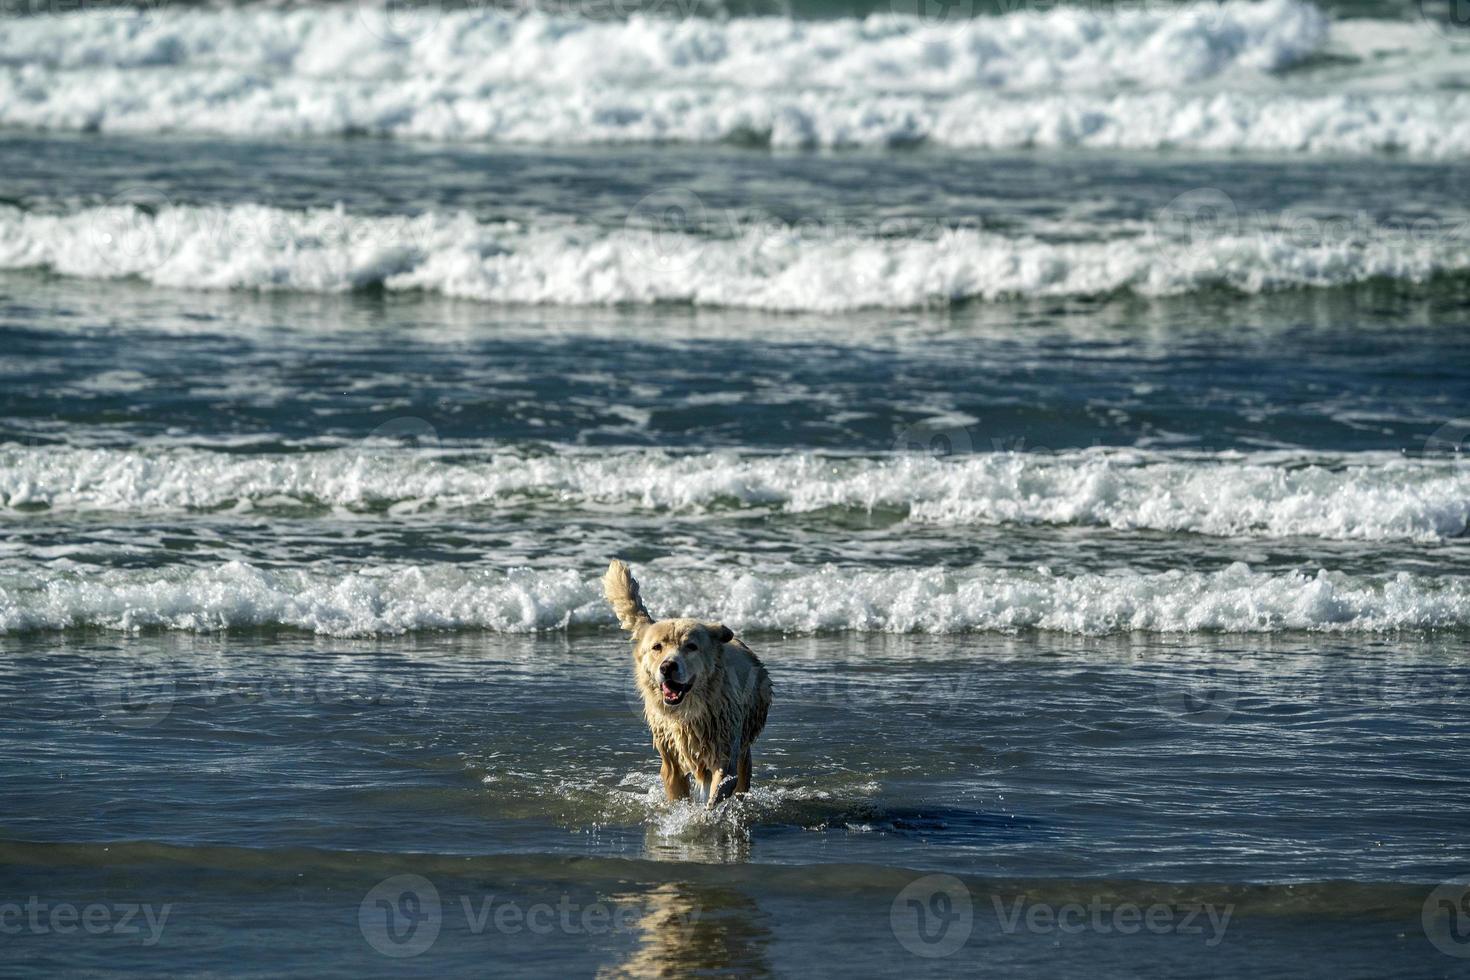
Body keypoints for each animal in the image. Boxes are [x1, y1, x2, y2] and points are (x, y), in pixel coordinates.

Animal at [602, 564, 776, 811]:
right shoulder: (672, 764)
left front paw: (703, 817)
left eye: (691, 646)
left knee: (743, 777)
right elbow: (677, 795)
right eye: (657, 647)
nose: (667, 666)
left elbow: (714, 799)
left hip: (743, 747)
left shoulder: (725, 758)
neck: (687, 714)